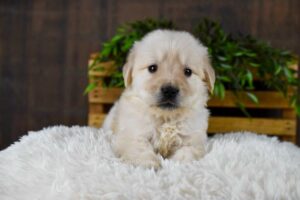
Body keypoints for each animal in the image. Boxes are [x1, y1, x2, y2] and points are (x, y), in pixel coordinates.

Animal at [103, 28, 216, 168]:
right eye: (152, 68)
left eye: (188, 72)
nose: (169, 90)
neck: (165, 118)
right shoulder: (132, 134)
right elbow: (139, 148)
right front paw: (147, 164)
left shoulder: (194, 139)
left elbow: (187, 152)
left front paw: (178, 163)